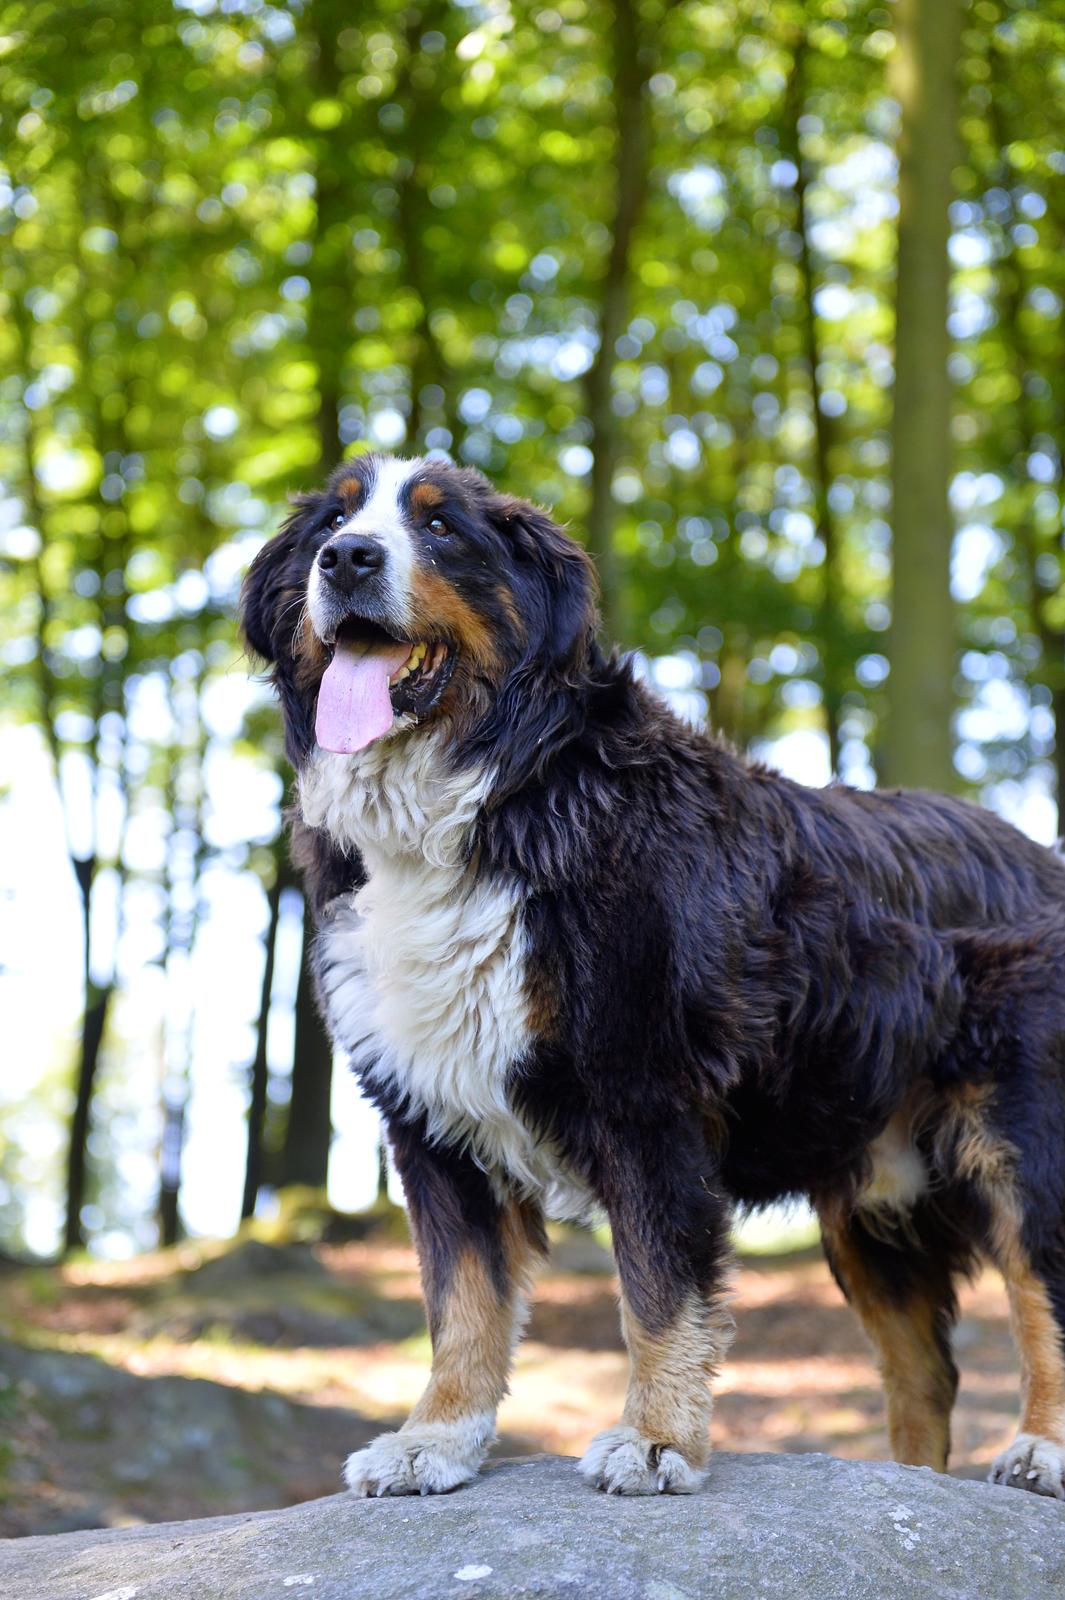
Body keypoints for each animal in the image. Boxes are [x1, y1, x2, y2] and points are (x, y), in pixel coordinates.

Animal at [239, 451, 1061, 1497]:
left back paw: (1039, 1447)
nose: (348, 560)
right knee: (922, 1374)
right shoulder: (431, 1118)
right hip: (871, 1199)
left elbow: (659, 1292)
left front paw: (657, 1438)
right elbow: (461, 1304)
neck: (499, 795)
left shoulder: (645, 1095)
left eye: (438, 528)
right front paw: (434, 1440)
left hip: (1021, 1142)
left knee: (1042, 1296)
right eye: (332, 524)